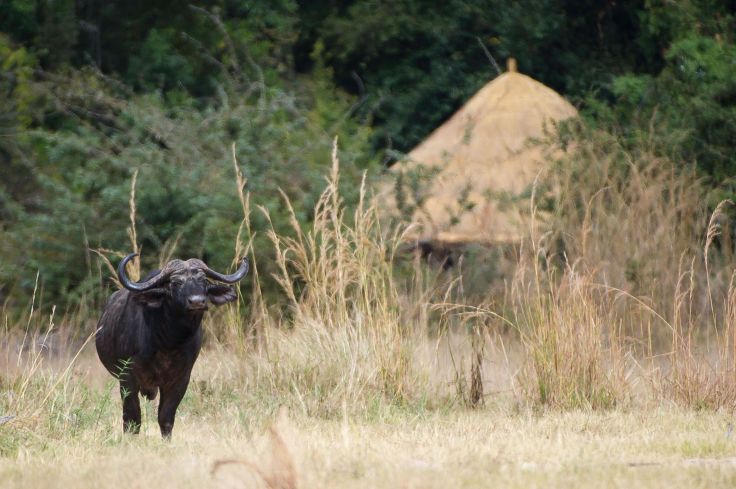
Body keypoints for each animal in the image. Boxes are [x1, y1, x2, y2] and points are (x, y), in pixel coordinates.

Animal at [95, 254, 247, 436]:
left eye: (203, 280)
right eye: (175, 283)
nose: (197, 302)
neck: (167, 342)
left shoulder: (180, 379)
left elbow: (166, 417)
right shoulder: (127, 378)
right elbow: (132, 419)